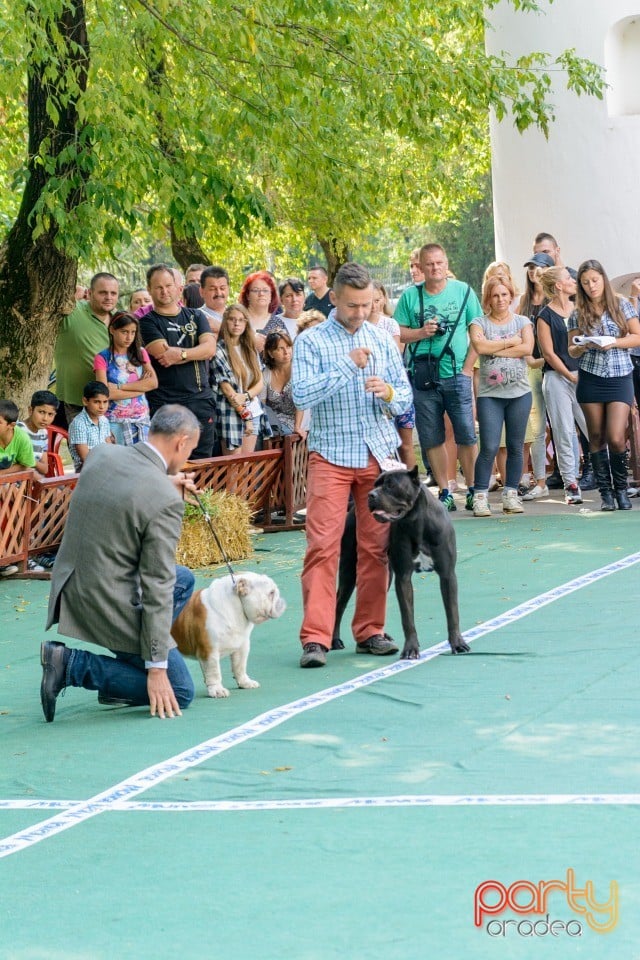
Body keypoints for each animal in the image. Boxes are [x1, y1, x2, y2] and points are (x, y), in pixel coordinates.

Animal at [336, 466, 470, 660]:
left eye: (391, 485)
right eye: (375, 484)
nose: (370, 495)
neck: (417, 523)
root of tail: (353, 507)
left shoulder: (447, 575)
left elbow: (452, 613)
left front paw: (458, 643)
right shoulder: (404, 577)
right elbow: (407, 618)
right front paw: (411, 648)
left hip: (386, 575)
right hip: (349, 569)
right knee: (339, 603)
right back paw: (334, 641)